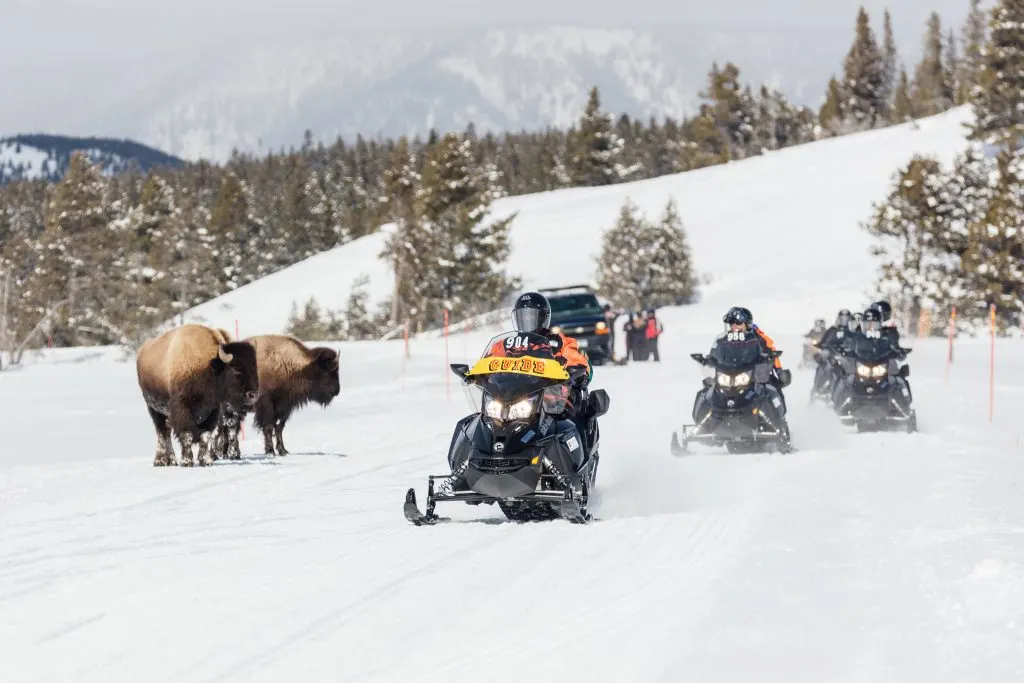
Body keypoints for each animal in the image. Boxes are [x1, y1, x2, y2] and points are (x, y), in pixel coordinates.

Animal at [137, 325, 260, 464]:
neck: (208, 366)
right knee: (162, 433)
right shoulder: (182, 409)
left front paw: (205, 461)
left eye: (254, 366)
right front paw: (187, 461)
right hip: (154, 408)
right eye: (235, 368)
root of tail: (142, 351)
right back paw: (161, 461)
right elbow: (187, 435)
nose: (253, 394)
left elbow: (205, 435)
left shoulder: (212, 411)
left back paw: (172, 460)